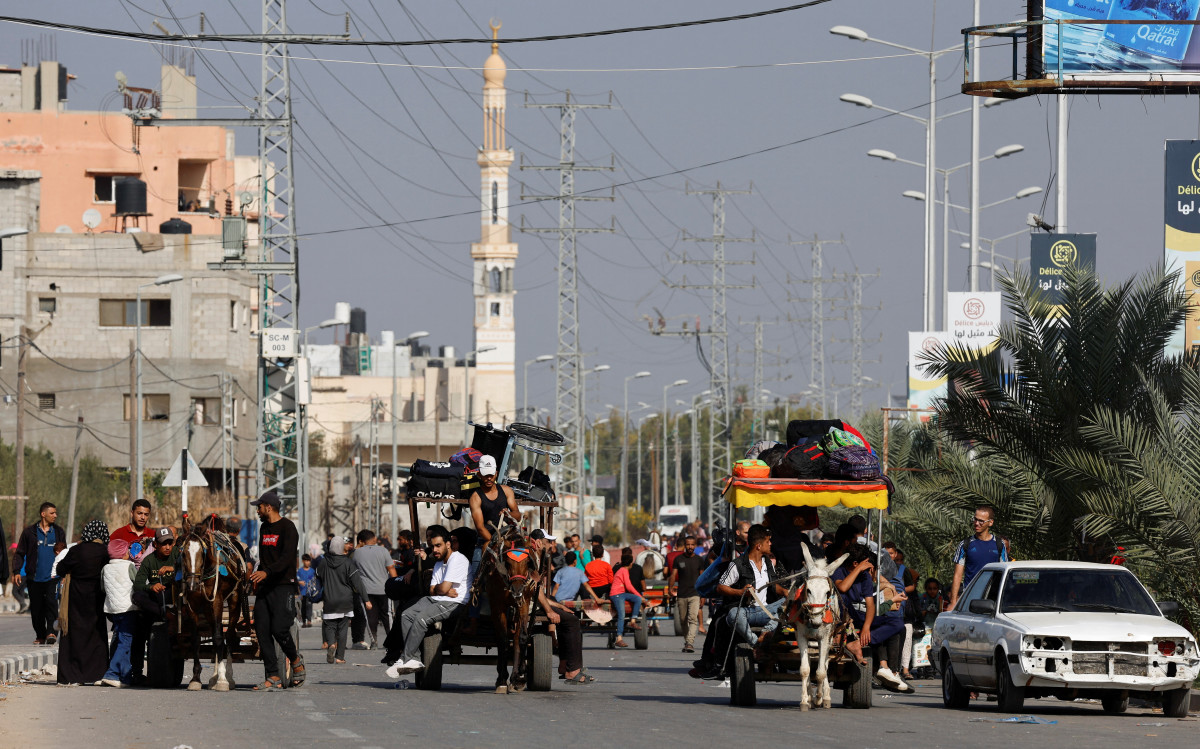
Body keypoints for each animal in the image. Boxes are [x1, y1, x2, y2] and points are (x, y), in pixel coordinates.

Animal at [176, 518, 247, 691]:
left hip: (235, 600)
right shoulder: (192, 605)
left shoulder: (217, 601)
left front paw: (223, 679)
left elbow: (218, 638)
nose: (192, 584)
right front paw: (195, 678)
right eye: (183, 552)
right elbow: (196, 639)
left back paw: (228, 677)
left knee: (228, 636)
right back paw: (213, 678)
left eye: (202, 552)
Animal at [482, 523, 549, 691]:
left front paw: (517, 677)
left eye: (527, 563)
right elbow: (503, 639)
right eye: (507, 563)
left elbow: (521, 637)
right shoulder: (497, 606)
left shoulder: (524, 603)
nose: (517, 589)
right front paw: (502, 679)